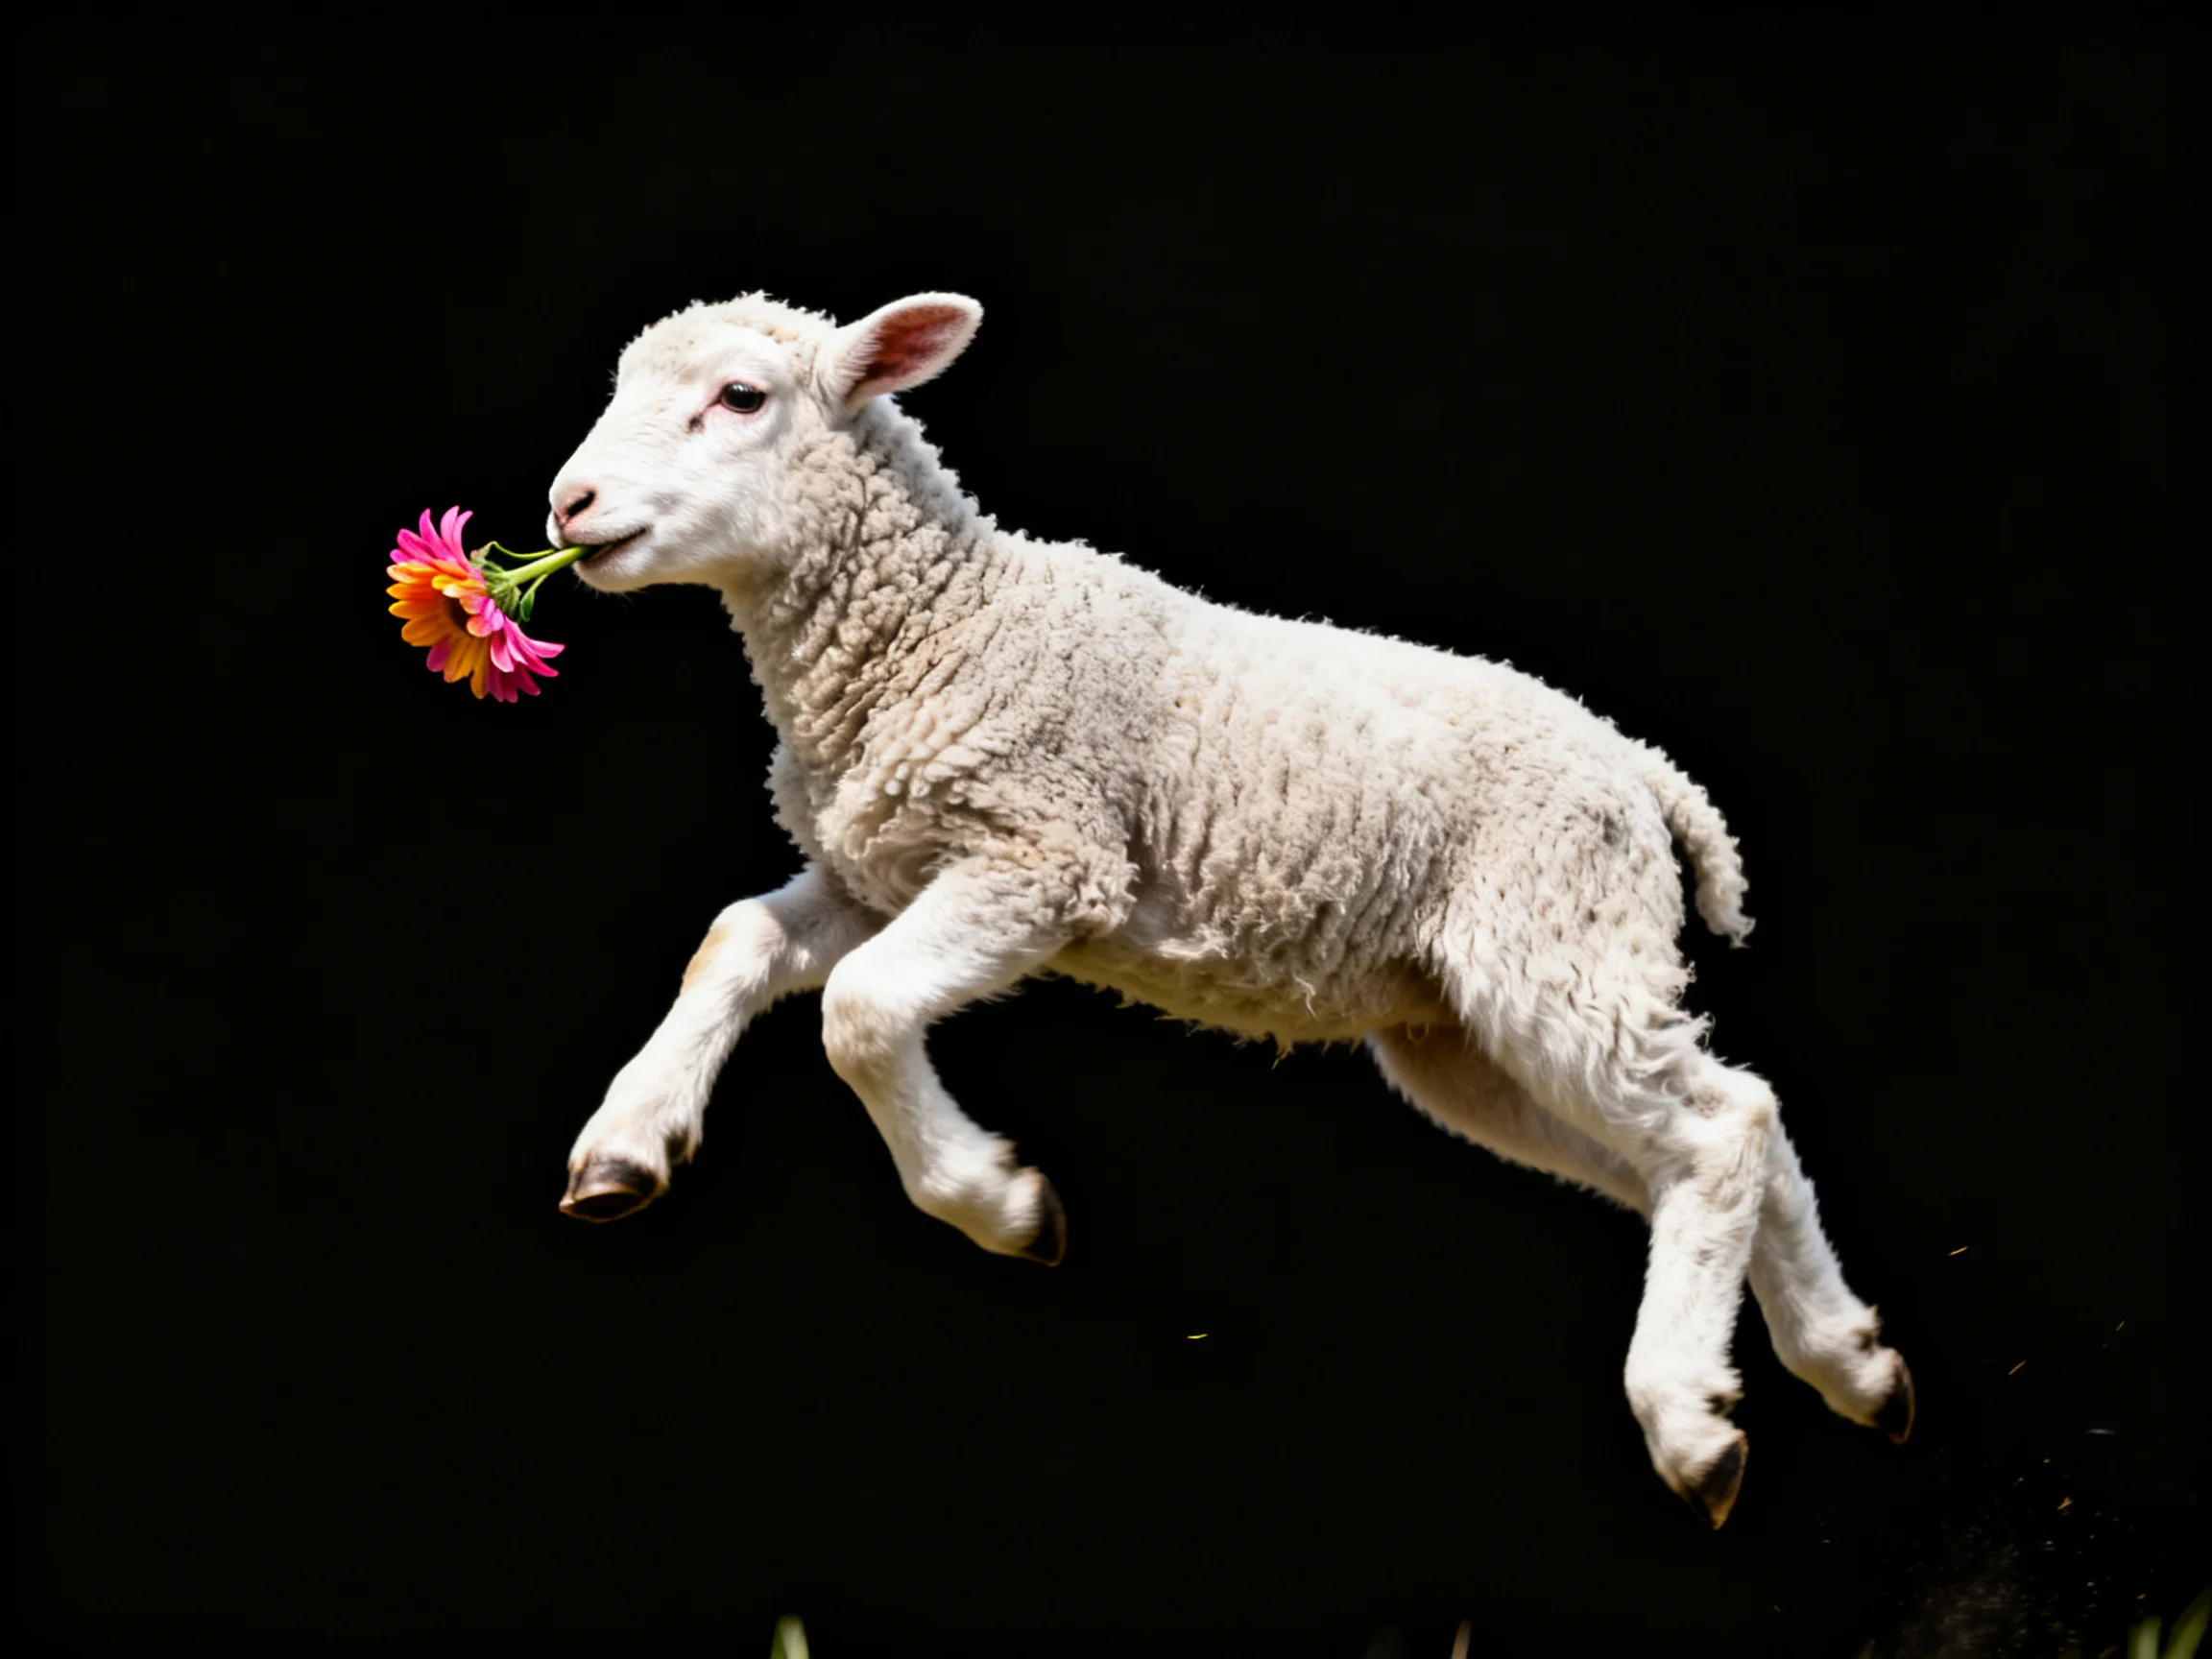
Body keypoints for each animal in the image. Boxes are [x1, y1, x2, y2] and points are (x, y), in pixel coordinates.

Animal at [543, 290, 1913, 1526]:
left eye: (740, 398)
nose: (569, 506)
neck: (938, 627)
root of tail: (1640, 769)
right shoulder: (873, 869)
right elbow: (736, 942)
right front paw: (625, 1147)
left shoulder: (1043, 852)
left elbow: (864, 1012)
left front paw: (1001, 1203)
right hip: (1466, 1035)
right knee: (1704, 1143)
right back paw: (1851, 1362)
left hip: (1549, 936)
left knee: (1722, 1127)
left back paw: (1693, 1423)